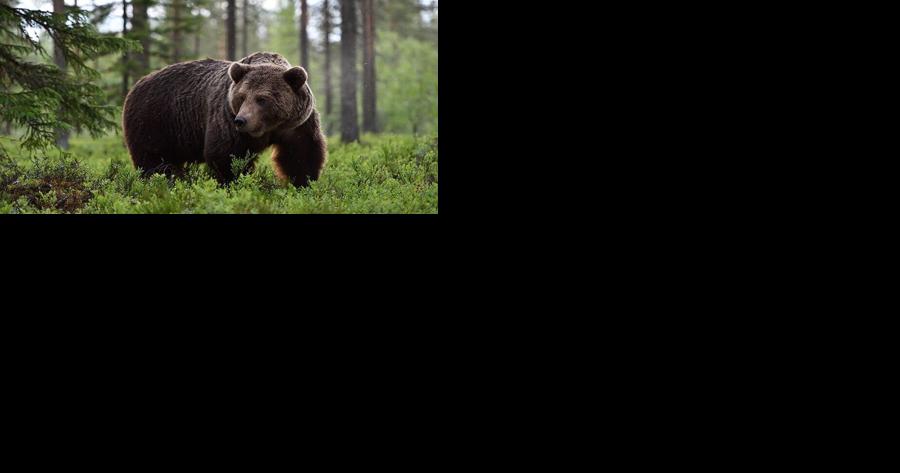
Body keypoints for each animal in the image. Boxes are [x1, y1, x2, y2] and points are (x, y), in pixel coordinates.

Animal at [122, 52, 327, 187]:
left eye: (262, 99)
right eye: (242, 97)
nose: (241, 120)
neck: (269, 127)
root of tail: (135, 86)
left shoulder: (297, 124)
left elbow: (301, 154)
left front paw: (303, 183)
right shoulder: (227, 118)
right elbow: (225, 155)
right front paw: (233, 183)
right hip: (155, 121)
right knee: (153, 160)